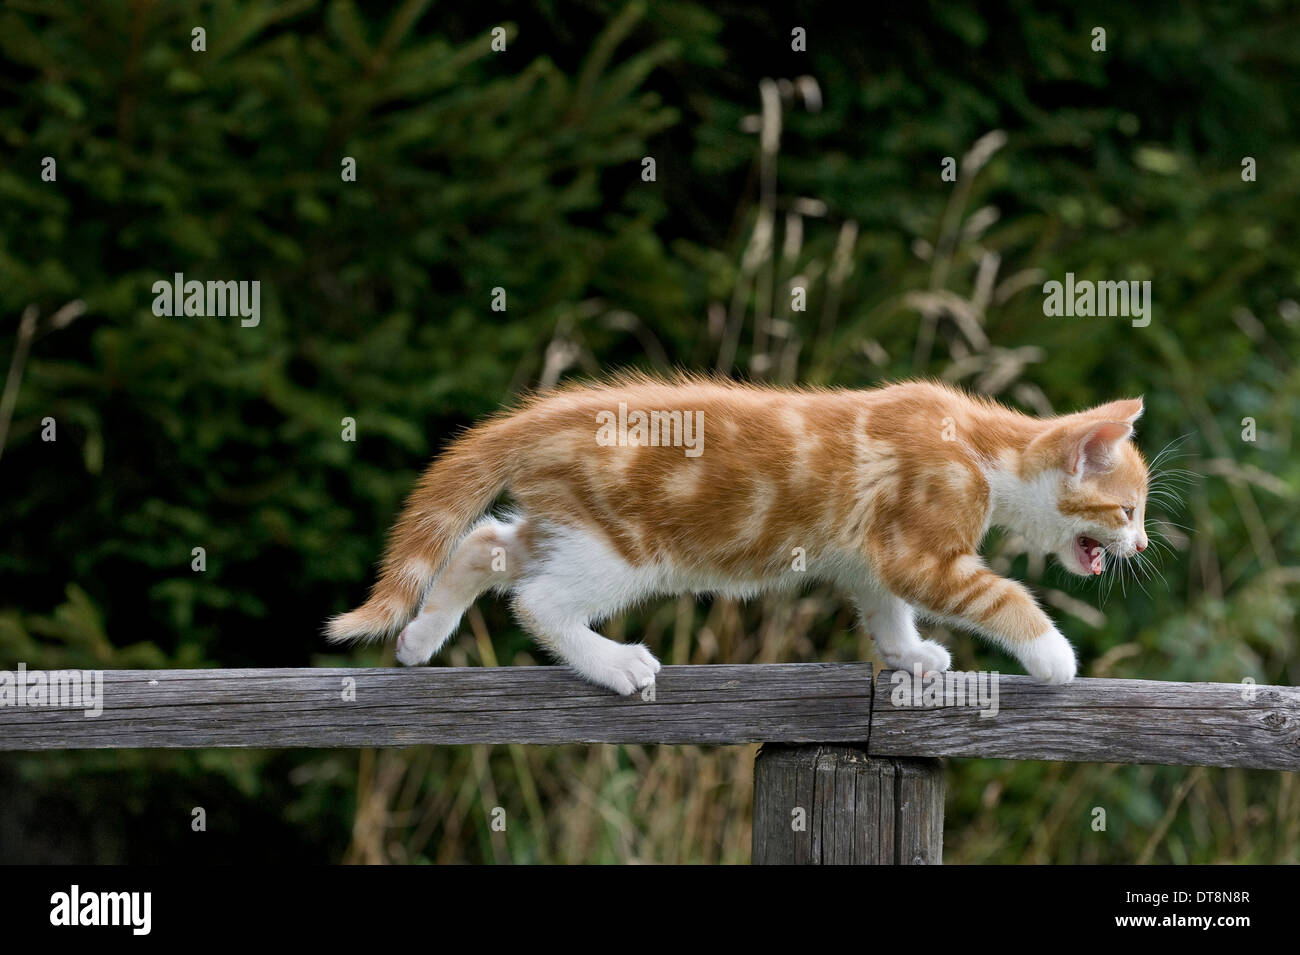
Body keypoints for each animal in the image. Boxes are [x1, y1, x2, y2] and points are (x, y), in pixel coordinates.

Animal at [325, 376, 1149, 696]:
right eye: (1127, 510)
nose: (1141, 546)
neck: (982, 447)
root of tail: (544, 415)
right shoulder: (922, 546)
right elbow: (995, 592)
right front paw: (1052, 654)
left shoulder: (872, 557)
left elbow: (885, 607)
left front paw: (911, 654)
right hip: (624, 549)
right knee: (538, 600)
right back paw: (614, 663)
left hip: (574, 524)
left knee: (484, 542)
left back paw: (422, 635)